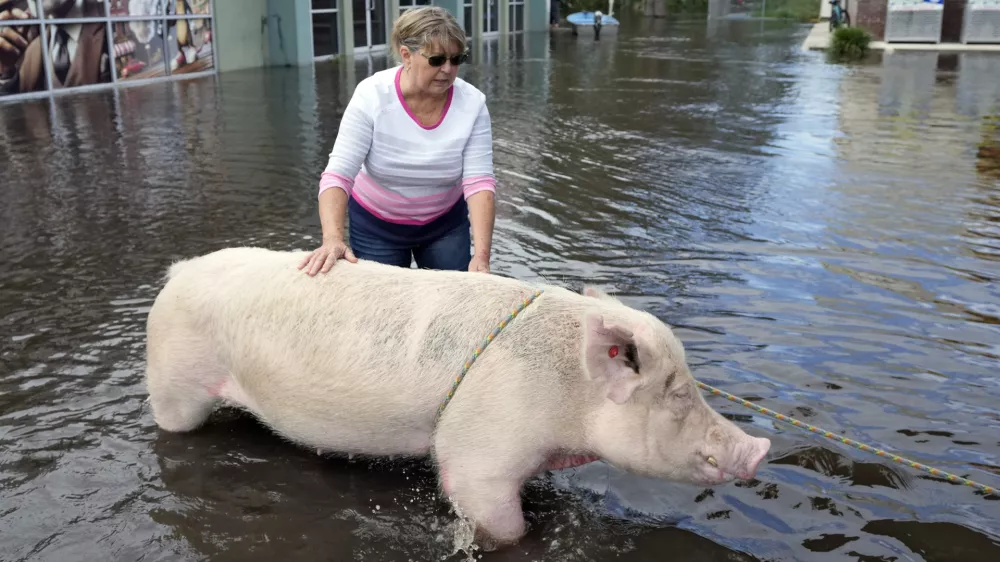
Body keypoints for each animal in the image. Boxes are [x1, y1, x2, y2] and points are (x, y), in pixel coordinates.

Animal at [144, 246, 771, 549]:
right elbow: (500, 523)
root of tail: (177, 272)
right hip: (174, 384)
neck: (570, 402)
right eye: (678, 393)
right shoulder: (481, 456)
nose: (760, 447)